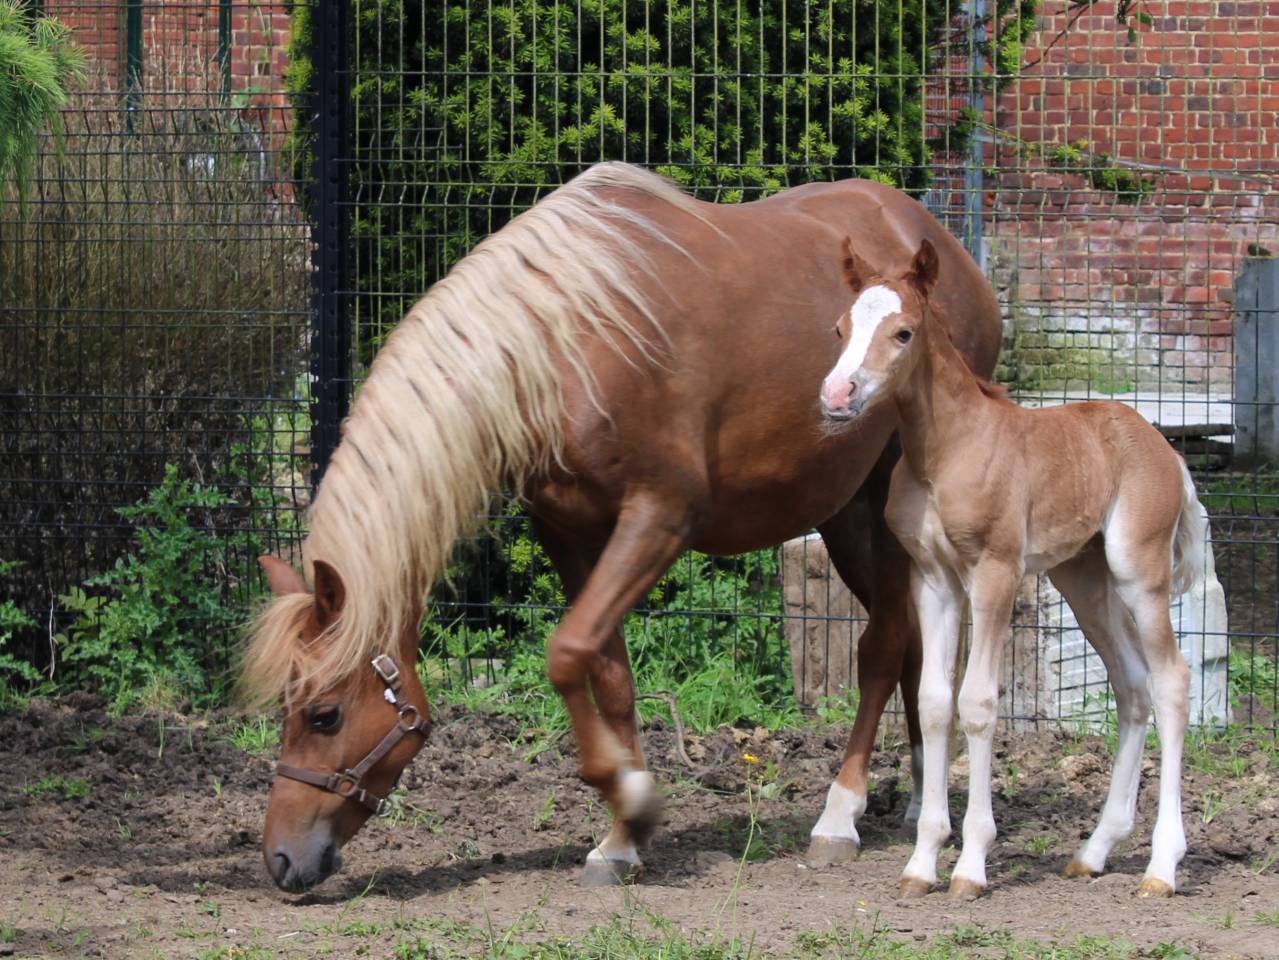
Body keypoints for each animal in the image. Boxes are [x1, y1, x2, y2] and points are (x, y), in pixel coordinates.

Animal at [243, 162, 1002, 894]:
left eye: (324, 715)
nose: (282, 860)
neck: (560, 345)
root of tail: (942, 248)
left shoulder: (658, 518)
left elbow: (566, 652)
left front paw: (633, 798)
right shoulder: (570, 533)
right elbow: (608, 673)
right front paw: (622, 839)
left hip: (882, 506)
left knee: (880, 645)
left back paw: (840, 815)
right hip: (844, 514)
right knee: (905, 638)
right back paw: (913, 796)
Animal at [819, 237, 1202, 899]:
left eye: (903, 332)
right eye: (841, 327)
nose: (838, 396)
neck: (946, 451)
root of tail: (1164, 446)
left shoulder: (994, 572)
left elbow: (978, 703)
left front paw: (971, 866)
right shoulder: (934, 580)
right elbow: (934, 702)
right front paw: (921, 864)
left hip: (1137, 570)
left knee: (1172, 682)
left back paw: (1161, 868)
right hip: (1082, 579)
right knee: (1131, 685)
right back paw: (1094, 851)